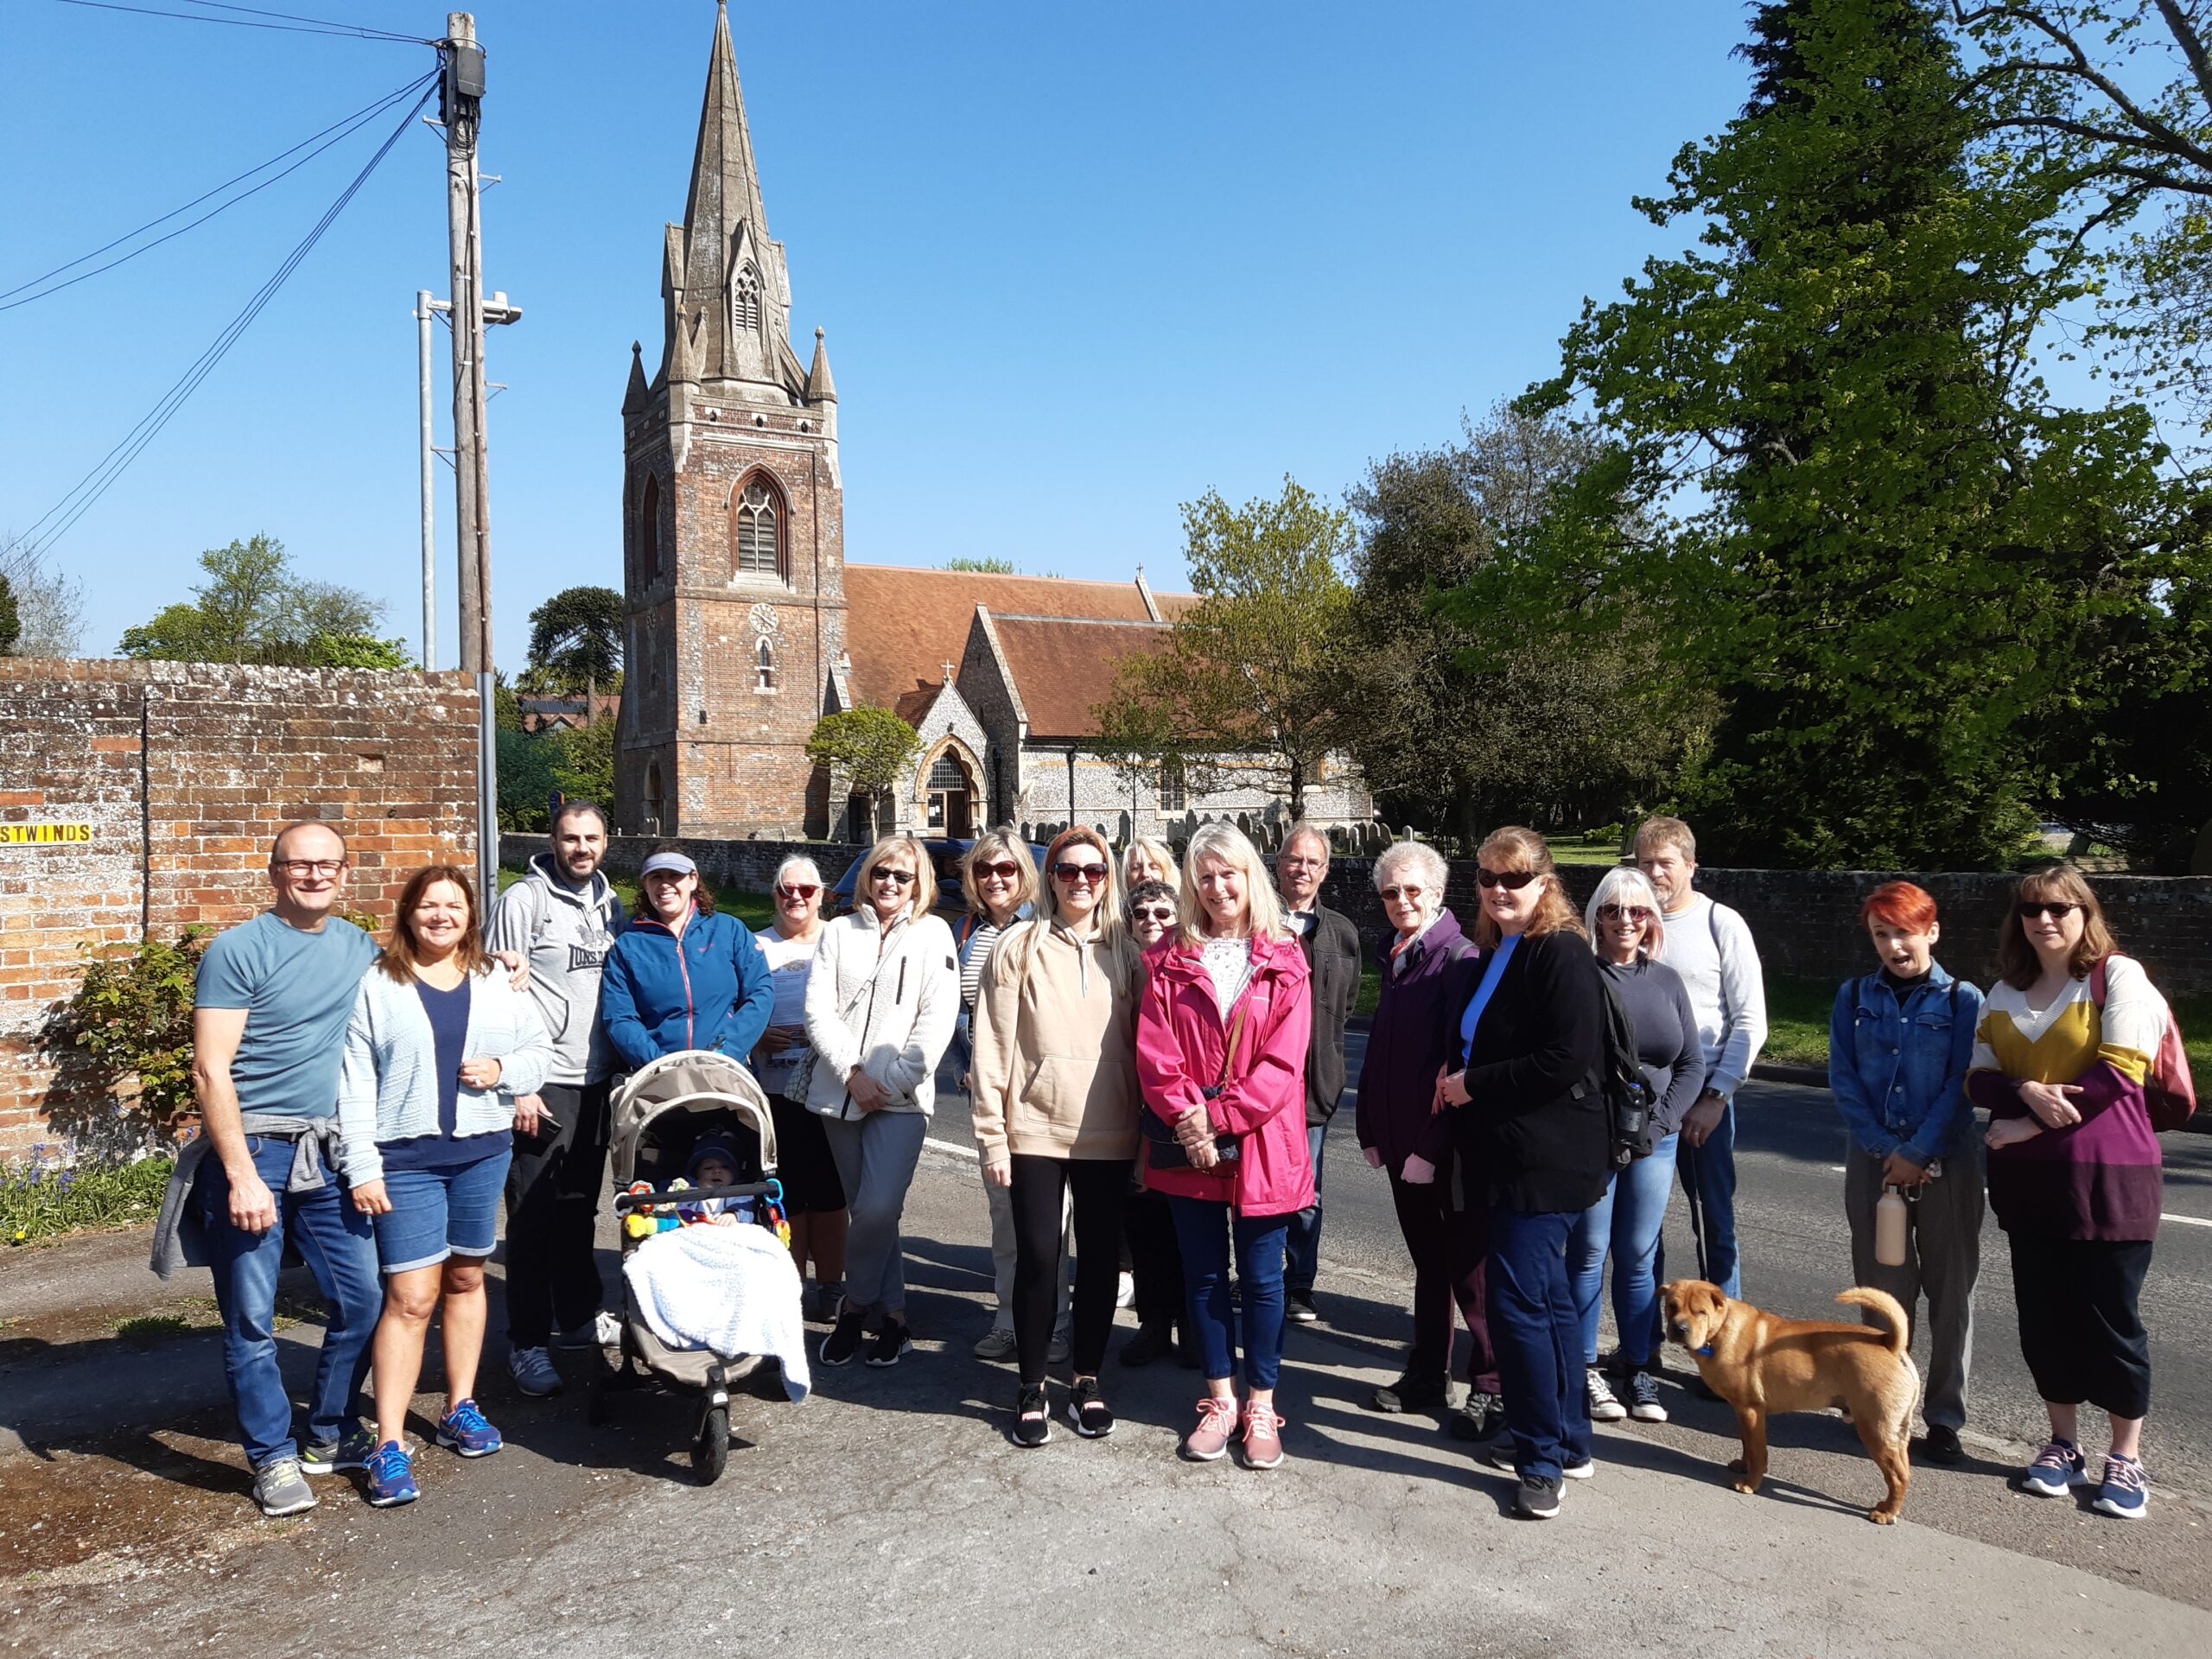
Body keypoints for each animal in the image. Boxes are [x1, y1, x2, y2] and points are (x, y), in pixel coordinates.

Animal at [1663, 1282, 1920, 1530]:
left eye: (1701, 1312)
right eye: (1671, 1306)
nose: (1679, 1328)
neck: (1720, 1329)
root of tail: (1890, 1343)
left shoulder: (1752, 1411)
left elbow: (1758, 1452)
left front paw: (1750, 1484)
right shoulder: (1742, 1412)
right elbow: (1746, 1443)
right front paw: (1743, 1465)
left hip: (1874, 1429)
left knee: (1898, 1477)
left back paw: (1887, 1513)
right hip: (1896, 1431)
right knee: (1905, 1470)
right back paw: (1888, 1506)